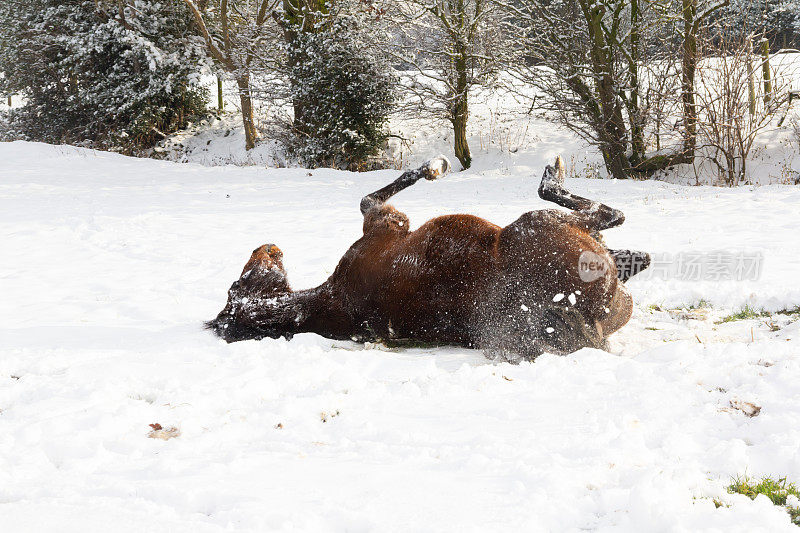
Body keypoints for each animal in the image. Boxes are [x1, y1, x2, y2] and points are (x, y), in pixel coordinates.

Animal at [206, 156, 648, 360]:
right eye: (237, 284)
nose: (265, 246)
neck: (324, 302)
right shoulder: (387, 221)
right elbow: (371, 196)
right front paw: (435, 166)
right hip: (534, 223)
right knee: (600, 212)